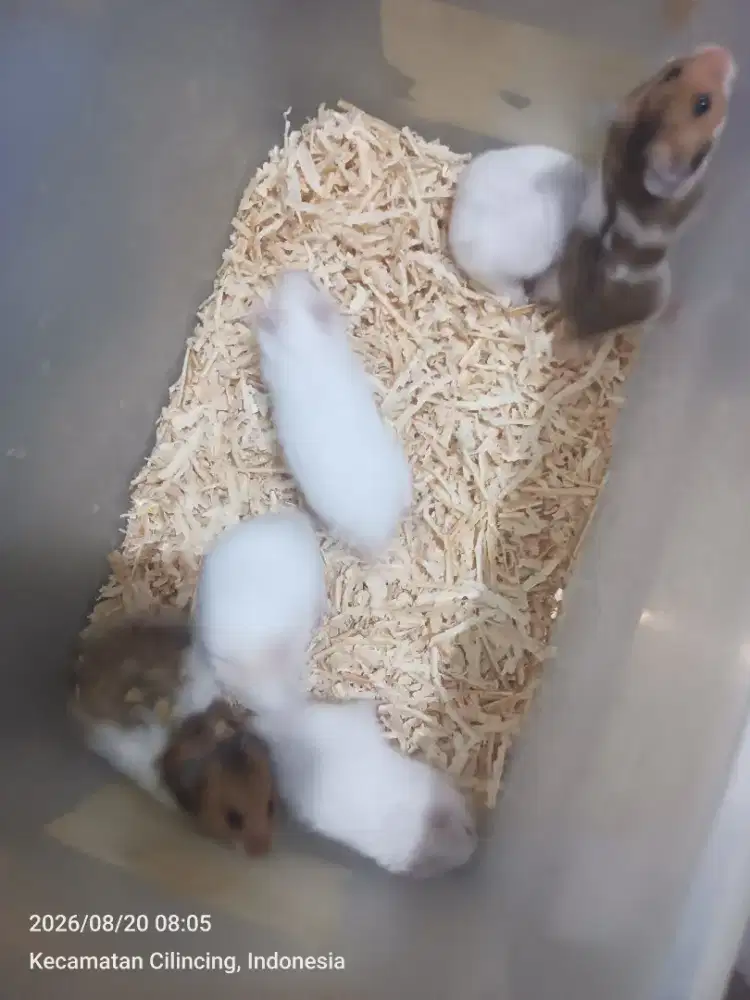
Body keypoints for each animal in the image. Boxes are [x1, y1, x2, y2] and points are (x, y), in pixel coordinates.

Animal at [532, 44, 737, 357]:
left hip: (554, 280)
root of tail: (581, 326)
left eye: (672, 71)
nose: (722, 50)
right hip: (661, 289)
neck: (638, 145)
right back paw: (675, 311)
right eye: (703, 104)